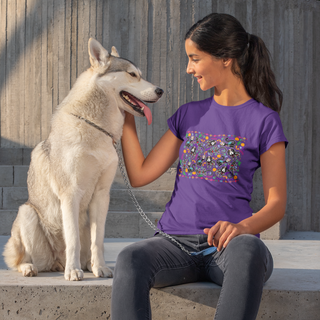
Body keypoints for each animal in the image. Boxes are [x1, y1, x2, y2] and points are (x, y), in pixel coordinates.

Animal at [1, 38, 162, 282]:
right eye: (133, 74)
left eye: (140, 74)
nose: (161, 90)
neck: (96, 127)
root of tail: (56, 262)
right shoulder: (70, 193)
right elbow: (72, 239)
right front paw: (73, 271)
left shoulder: (102, 195)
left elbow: (99, 241)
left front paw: (101, 268)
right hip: (27, 214)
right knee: (21, 259)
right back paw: (34, 267)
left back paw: (88, 265)